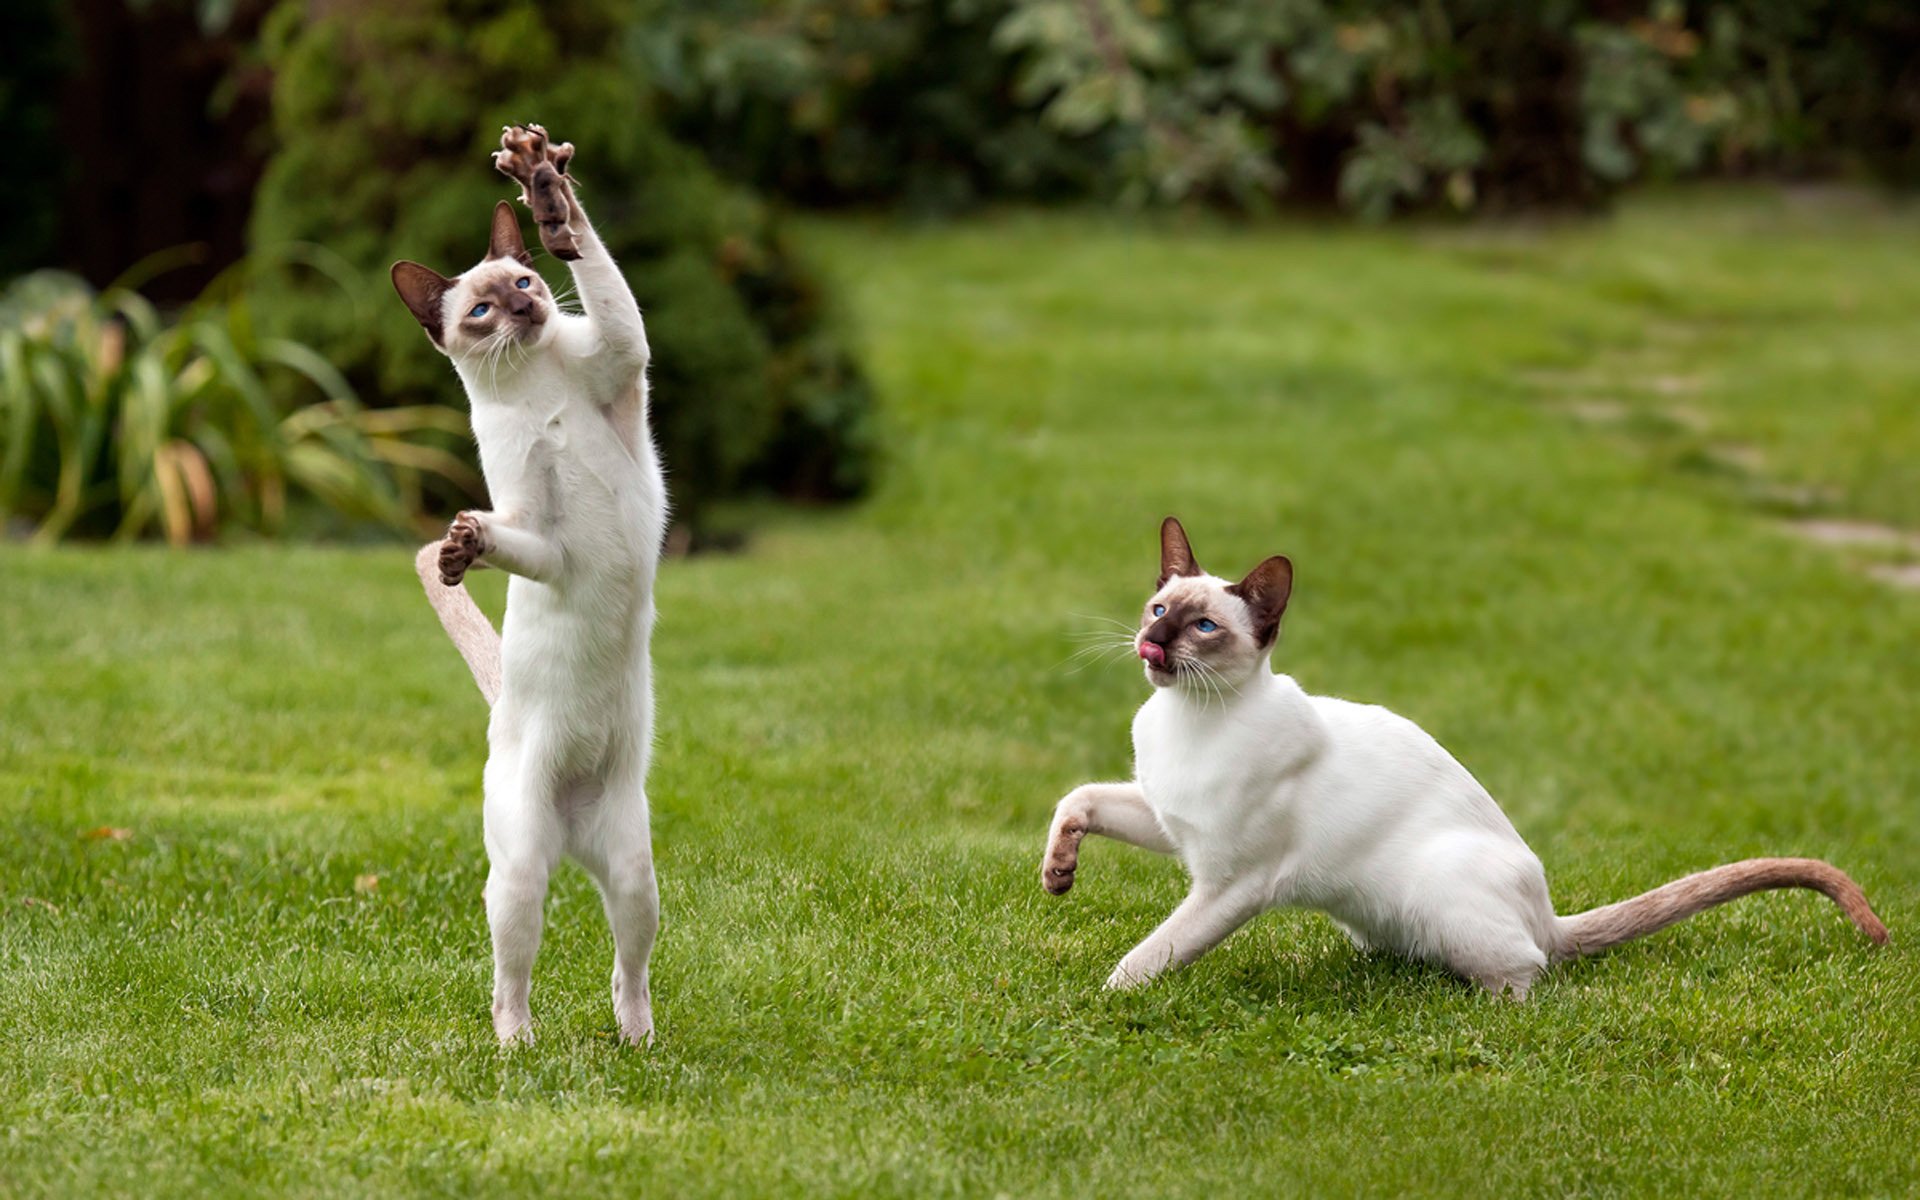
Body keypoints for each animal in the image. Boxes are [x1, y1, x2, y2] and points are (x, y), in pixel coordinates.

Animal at [389, 123, 668, 1036]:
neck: (535, 383)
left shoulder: (623, 360)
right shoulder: (537, 529)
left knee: (627, 969)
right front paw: (459, 548)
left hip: (634, 875)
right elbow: (500, 538)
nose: (524, 311)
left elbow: (597, 270)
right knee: (510, 980)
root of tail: (572, 839)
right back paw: (519, 1047)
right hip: (519, 882)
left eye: (523, 281)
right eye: (479, 312)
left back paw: (637, 1041)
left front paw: (545, 189)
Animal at [1044, 514, 1881, 990]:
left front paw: (1105, 1002)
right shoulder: (1170, 823)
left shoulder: (1230, 882)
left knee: (1532, 971)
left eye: (1204, 628)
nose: (1153, 643)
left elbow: (1151, 955)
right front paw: (1058, 873)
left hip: (1440, 893)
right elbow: (1078, 798)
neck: (1190, 720)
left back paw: (1482, 1005)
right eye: (1158, 608)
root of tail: (1548, 911)